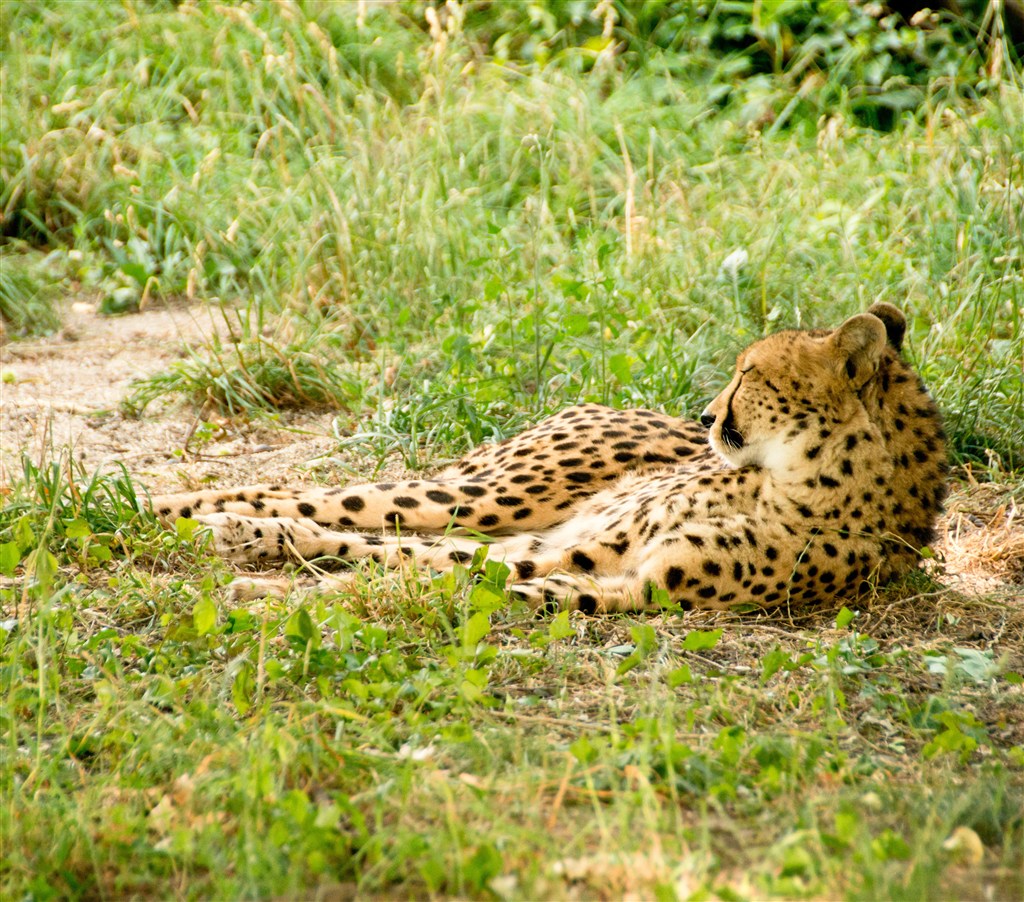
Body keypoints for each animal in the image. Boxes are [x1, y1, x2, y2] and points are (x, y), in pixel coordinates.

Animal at [148, 303, 946, 614]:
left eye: (749, 375)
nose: (706, 417)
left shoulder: (626, 580)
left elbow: (440, 576)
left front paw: (283, 592)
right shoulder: (578, 543)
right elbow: (407, 559)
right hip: (492, 494)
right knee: (321, 496)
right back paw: (161, 507)